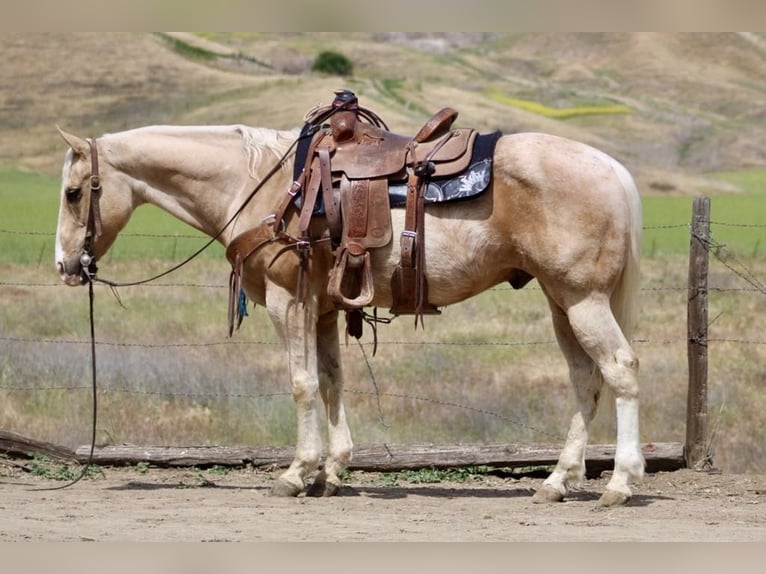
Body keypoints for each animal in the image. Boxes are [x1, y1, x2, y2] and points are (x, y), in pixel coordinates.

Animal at [54, 119, 644, 507]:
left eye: (72, 192)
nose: (65, 265)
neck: (264, 184)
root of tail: (613, 169)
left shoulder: (287, 302)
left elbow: (302, 384)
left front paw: (296, 473)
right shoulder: (324, 309)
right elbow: (332, 382)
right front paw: (332, 472)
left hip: (583, 299)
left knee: (619, 370)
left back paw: (618, 483)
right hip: (560, 302)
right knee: (584, 379)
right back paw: (557, 481)